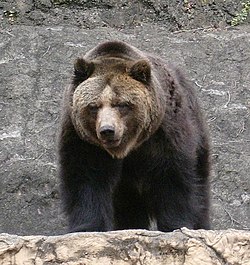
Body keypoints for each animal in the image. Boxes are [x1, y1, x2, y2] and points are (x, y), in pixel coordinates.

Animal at [57, 39, 210, 231]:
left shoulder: (164, 133)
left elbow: (173, 176)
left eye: (122, 104)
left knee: (200, 188)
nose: (107, 130)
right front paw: (87, 226)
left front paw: (176, 225)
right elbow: (86, 177)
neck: (127, 147)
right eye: (93, 106)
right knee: (129, 204)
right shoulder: (83, 140)